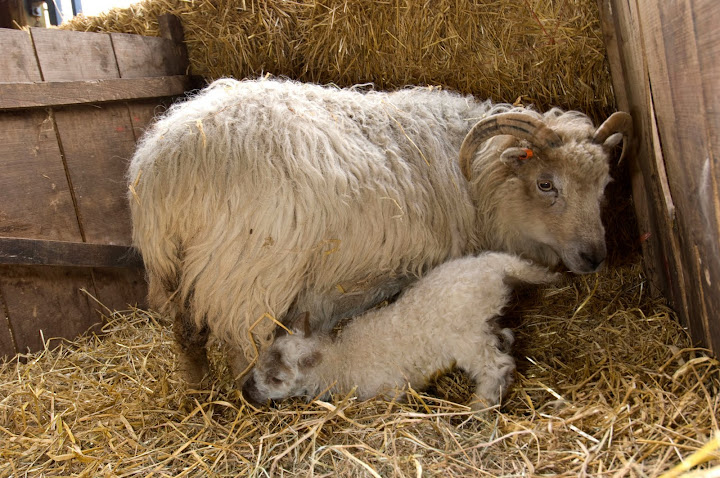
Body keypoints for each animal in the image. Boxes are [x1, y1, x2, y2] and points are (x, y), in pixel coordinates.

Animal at [127, 77, 632, 385]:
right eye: (547, 184)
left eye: (605, 186)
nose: (595, 257)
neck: (477, 178)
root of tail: (167, 166)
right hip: (247, 277)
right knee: (239, 345)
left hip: (177, 269)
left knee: (186, 334)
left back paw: (199, 393)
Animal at [242, 251, 558, 409]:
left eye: (276, 378)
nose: (245, 392)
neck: (341, 359)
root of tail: (493, 264)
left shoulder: (390, 388)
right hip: (486, 323)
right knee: (505, 338)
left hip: (467, 337)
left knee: (498, 366)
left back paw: (481, 406)